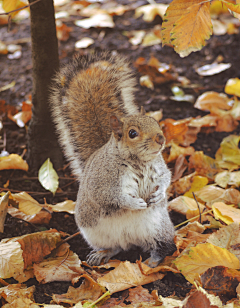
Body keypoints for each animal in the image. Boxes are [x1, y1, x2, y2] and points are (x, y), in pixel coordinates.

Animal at [49, 51, 175, 266]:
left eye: (155, 121)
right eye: (132, 133)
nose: (160, 139)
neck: (138, 161)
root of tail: (131, 239)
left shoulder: (159, 166)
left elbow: (166, 178)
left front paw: (159, 194)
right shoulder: (102, 180)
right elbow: (109, 196)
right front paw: (134, 204)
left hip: (158, 228)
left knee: (162, 246)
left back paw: (153, 260)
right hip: (95, 234)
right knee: (116, 247)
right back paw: (103, 254)